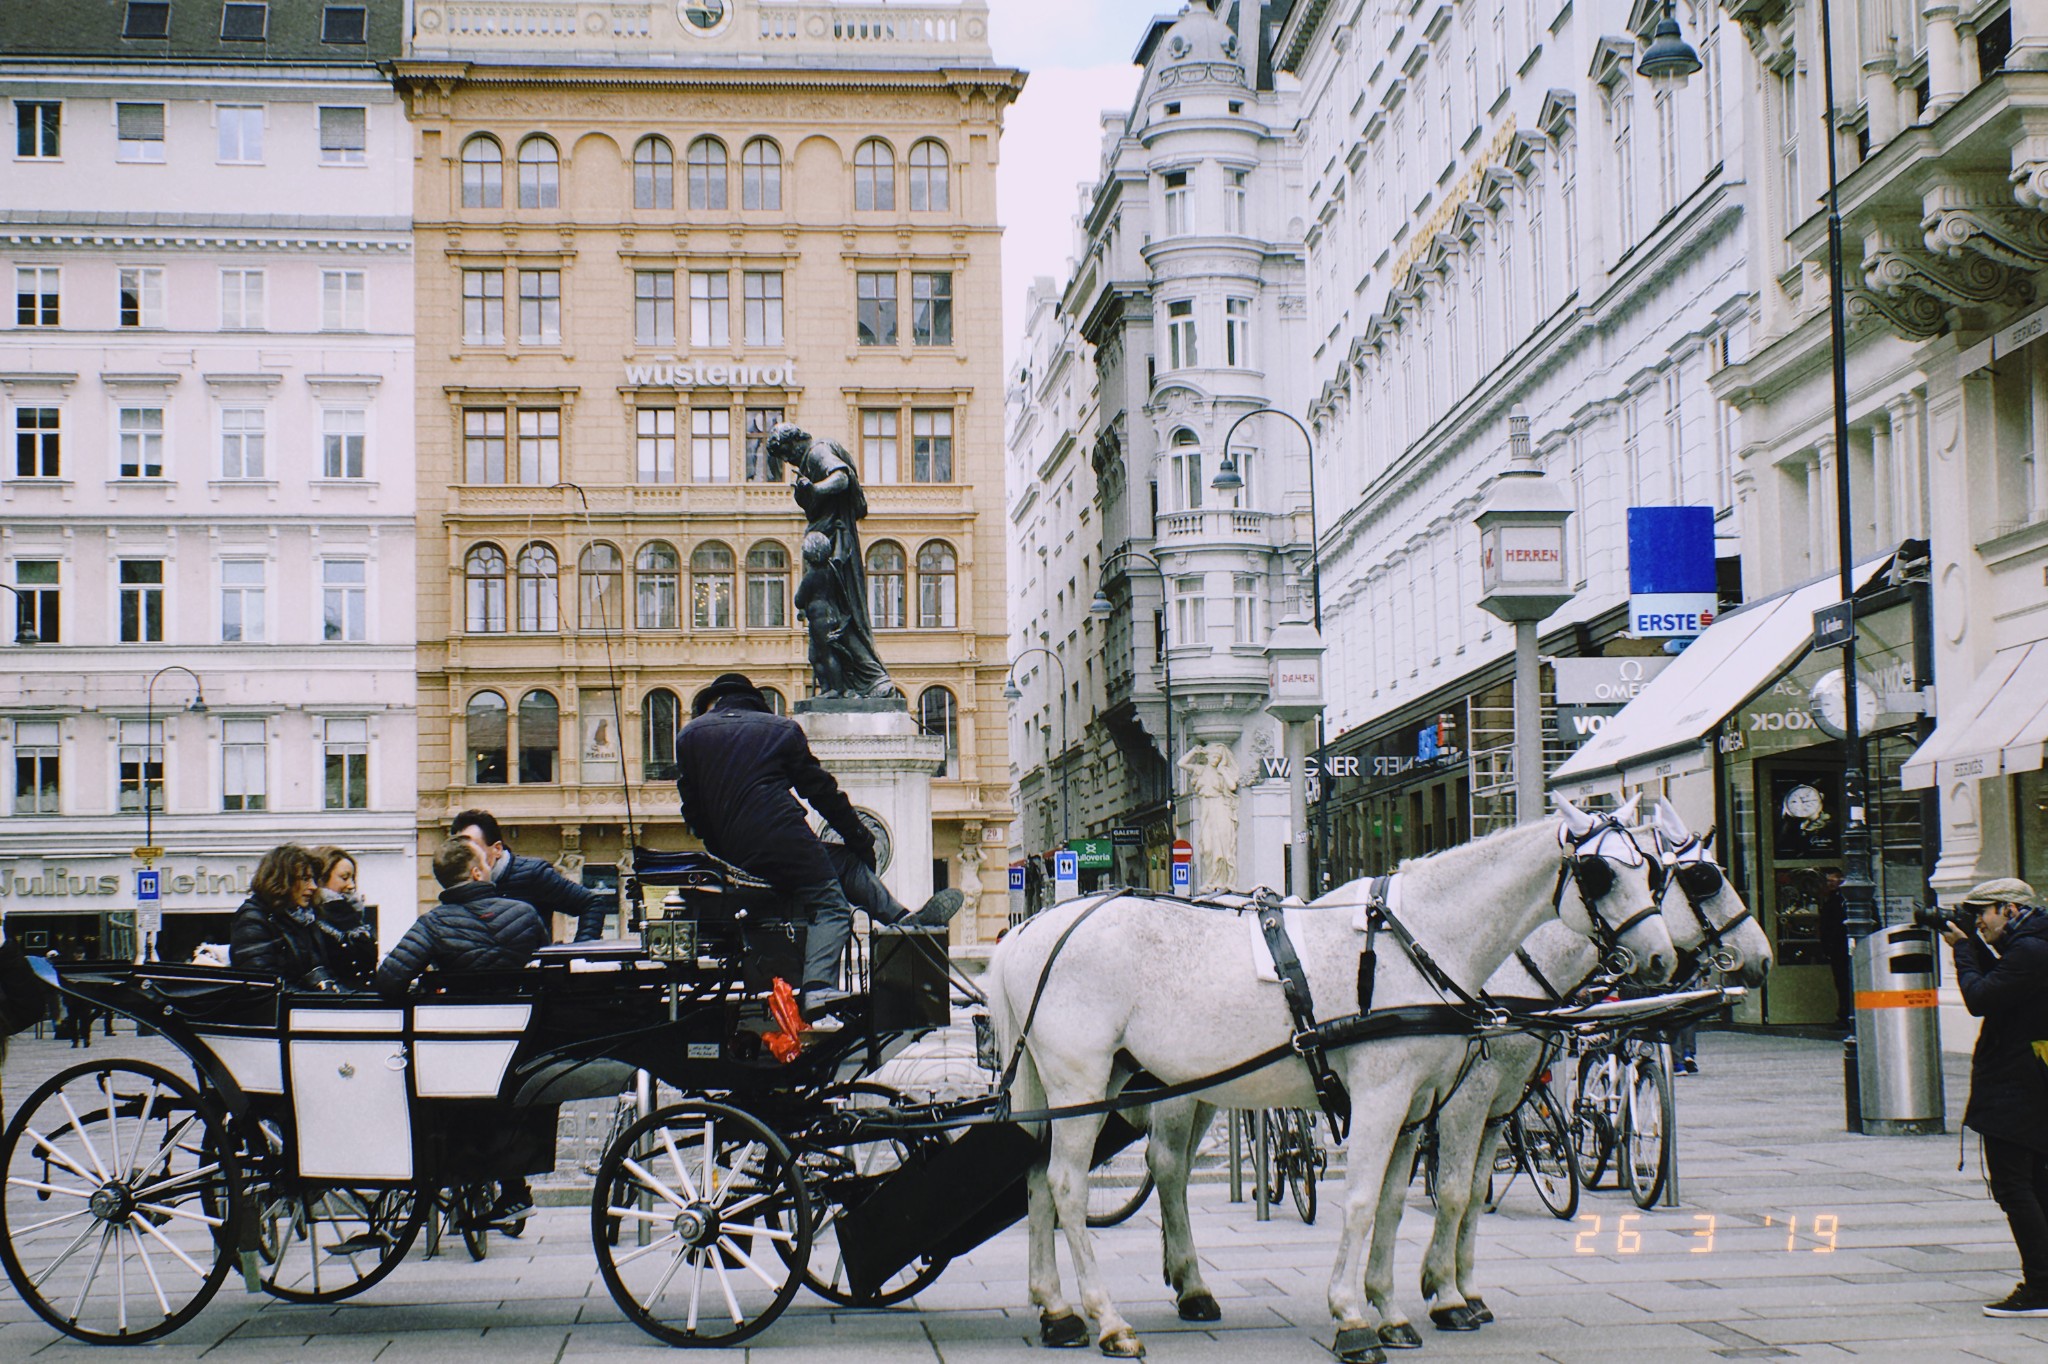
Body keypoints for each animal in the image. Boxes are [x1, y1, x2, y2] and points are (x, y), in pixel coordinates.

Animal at [983, 790, 1671, 1351]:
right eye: (1599, 872)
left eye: (1654, 872)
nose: (1664, 958)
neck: (1416, 941)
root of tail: (1029, 930)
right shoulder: (1385, 1096)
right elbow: (1365, 1200)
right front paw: (1354, 1317)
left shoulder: (1416, 1104)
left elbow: (1393, 1203)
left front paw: (1390, 1309)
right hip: (1083, 1083)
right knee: (1071, 1186)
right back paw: (1108, 1319)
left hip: (1087, 1087)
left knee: (1040, 1179)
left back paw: (1059, 1311)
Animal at [1392, 790, 1777, 1335]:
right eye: (1704, 880)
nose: (1762, 958)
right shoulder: (1467, 1098)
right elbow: (1451, 1190)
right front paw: (1446, 1298)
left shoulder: (1499, 1103)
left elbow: (1472, 1191)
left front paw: (1465, 1291)